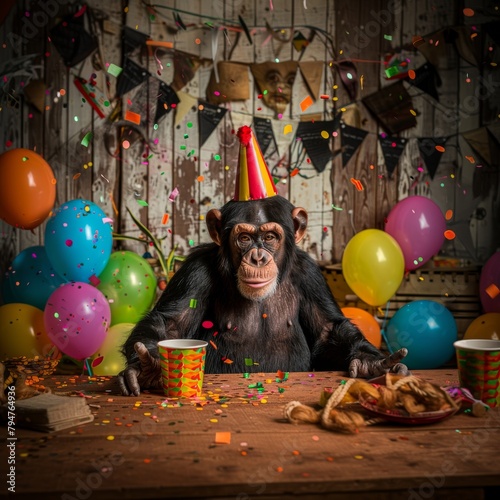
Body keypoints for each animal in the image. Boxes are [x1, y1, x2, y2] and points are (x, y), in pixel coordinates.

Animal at [117, 127, 406, 396]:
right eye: (244, 238)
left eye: (269, 237)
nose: (257, 257)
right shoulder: (195, 272)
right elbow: (171, 325)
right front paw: (148, 368)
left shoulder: (310, 275)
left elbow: (328, 331)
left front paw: (371, 363)